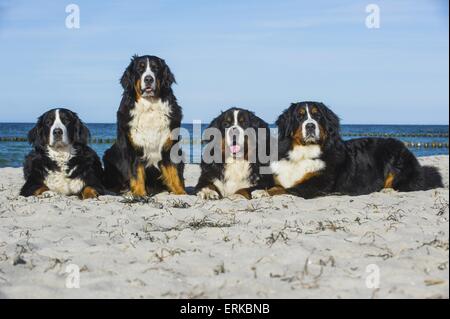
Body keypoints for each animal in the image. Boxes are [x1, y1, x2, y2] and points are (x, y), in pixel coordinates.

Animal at [103, 54, 185, 198]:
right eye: (139, 69)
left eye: (156, 68)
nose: (148, 79)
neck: (150, 108)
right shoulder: (134, 148)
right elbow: (137, 174)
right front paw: (140, 194)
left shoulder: (169, 146)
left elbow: (174, 173)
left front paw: (181, 192)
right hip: (109, 155)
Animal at [268, 101, 442, 199]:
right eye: (300, 116)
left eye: (318, 116)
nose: (310, 125)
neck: (305, 152)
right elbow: (277, 185)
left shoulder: (318, 184)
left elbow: (285, 189)